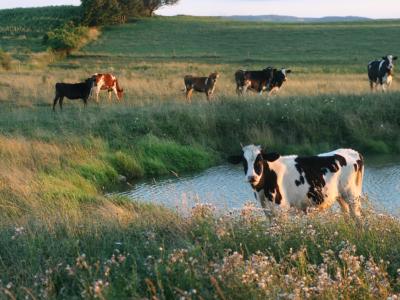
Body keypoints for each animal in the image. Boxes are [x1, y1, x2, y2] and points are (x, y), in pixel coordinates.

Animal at [228, 144, 362, 219]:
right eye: (243, 161)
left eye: (260, 160)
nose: (252, 177)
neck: (262, 191)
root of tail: (352, 151)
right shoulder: (268, 211)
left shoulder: (281, 209)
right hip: (340, 196)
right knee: (346, 215)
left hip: (352, 195)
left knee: (357, 217)